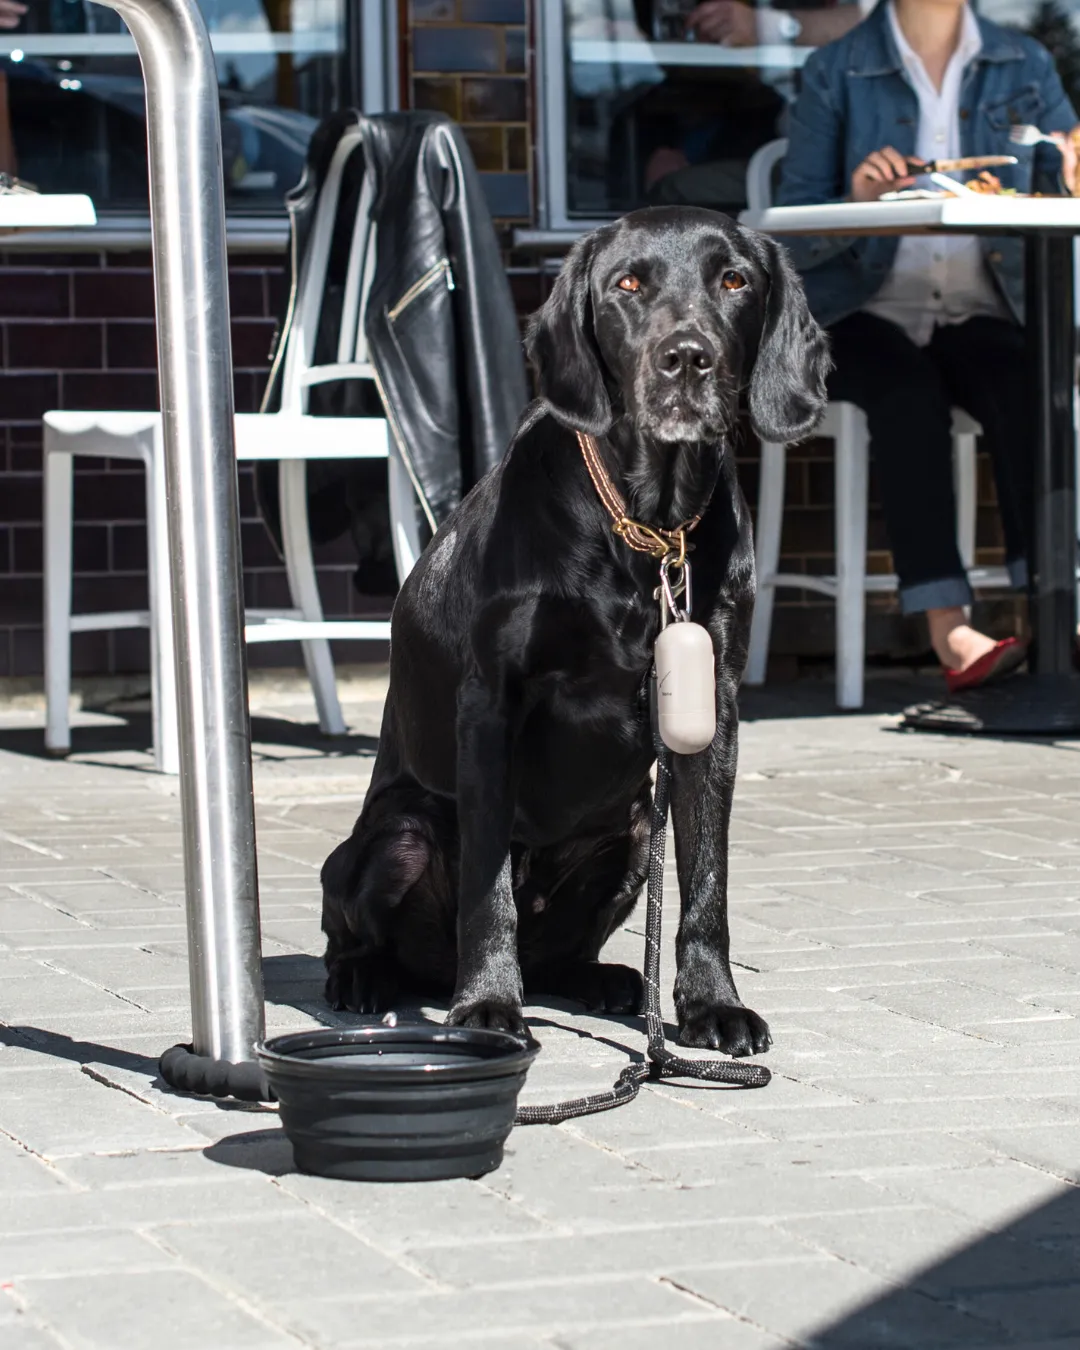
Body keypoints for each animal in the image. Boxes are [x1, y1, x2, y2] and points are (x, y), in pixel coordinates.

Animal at [321, 207, 826, 1053]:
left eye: (734, 280)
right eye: (628, 284)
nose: (686, 358)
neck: (647, 531)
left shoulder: (714, 709)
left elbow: (708, 881)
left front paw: (711, 1005)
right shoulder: (490, 705)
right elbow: (489, 886)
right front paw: (487, 1006)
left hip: (631, 831)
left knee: (562, 953)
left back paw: (608, 981)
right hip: (399, 830)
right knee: (357, 930)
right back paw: (369, 978)